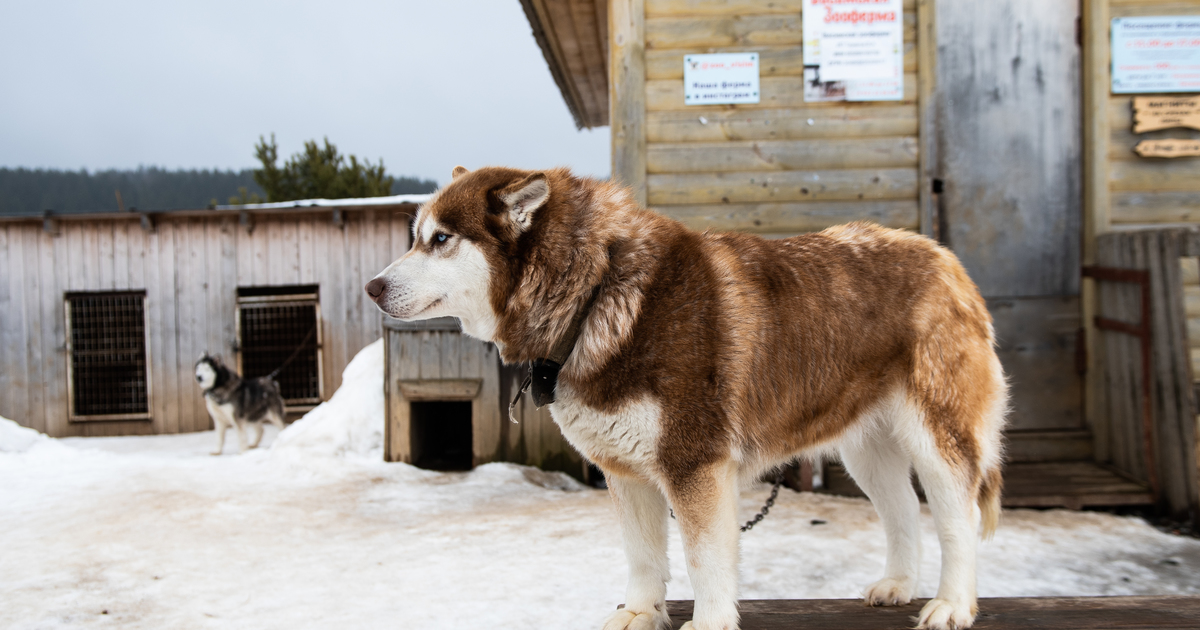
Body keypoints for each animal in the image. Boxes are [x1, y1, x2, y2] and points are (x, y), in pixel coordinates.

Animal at [362, 164, 1003, 624]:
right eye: (416, 239)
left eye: (440, 239)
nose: (371, 286)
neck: (595, 293)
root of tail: (946, 259)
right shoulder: (626, 471)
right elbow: (644, 555)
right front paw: (640, 613)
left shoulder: (696, 465)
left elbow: (703, 557)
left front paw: (711, 622)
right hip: (866, 451)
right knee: (903, 513)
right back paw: (898, 585)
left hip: (937, 440)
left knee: (959, 519)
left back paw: (952, 605)